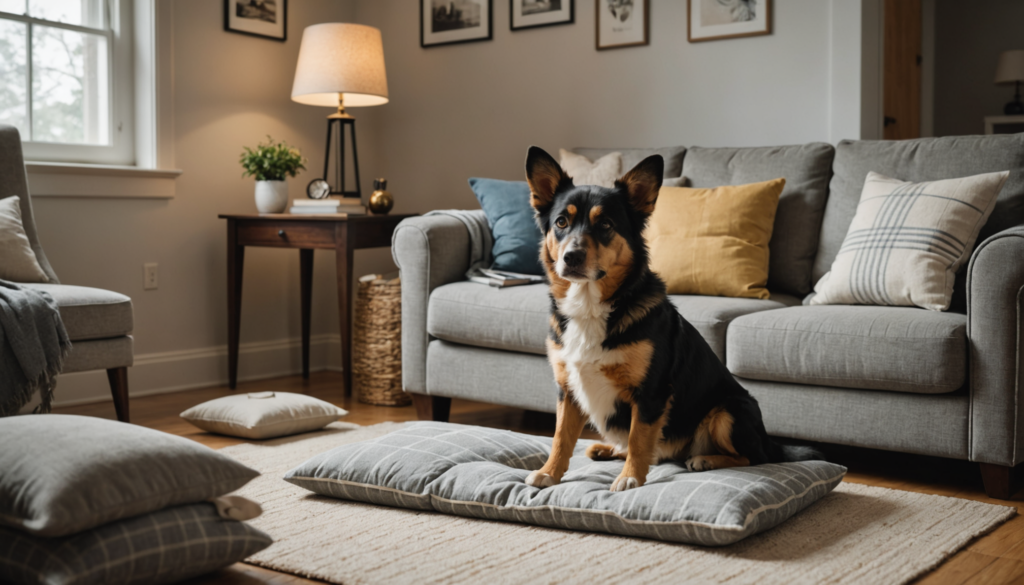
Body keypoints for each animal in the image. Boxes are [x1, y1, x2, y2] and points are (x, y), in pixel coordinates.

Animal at [524, 144, 819, 491]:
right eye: (560, 222)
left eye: (606, 225)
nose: (571, 257)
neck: (593, 305)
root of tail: (769, 440)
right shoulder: (567, 389)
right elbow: (561, 437)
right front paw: (549, 472)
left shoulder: (652, 392)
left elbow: (639, 438)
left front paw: (629, 478)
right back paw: (608, 448)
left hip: (729, 411)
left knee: (753, 457)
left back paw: (706, 459)